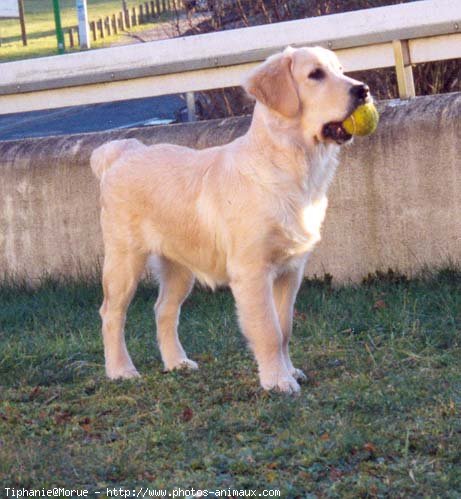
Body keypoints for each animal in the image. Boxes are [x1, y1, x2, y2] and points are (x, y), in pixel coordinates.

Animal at [90, 48, 370, 396]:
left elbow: (285, 327)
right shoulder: (252, 272)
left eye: (340, 70)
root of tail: (123, 150)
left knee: (163, 310)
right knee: (112, 314)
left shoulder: (290, 271)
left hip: (180, 267)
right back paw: (120, 370)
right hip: (124, 259)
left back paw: (176, 362)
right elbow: (268, 330)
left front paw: (289, 370)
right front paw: (277, 380)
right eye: (315, 75)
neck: (289, 165)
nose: (363, 90)